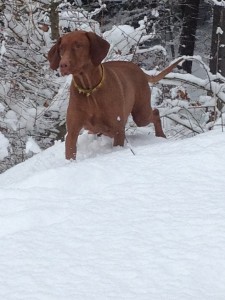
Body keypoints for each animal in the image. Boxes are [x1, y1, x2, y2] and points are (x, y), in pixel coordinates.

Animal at [48, 31, 182, 159]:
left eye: (78, 45)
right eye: (61, 48)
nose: (63, 65)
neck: (90, 90)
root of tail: (140, 70)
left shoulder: (117, 129)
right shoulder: (72, 132)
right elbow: (70, 153)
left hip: (140, 115)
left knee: (155, 113)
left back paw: (161, 135)